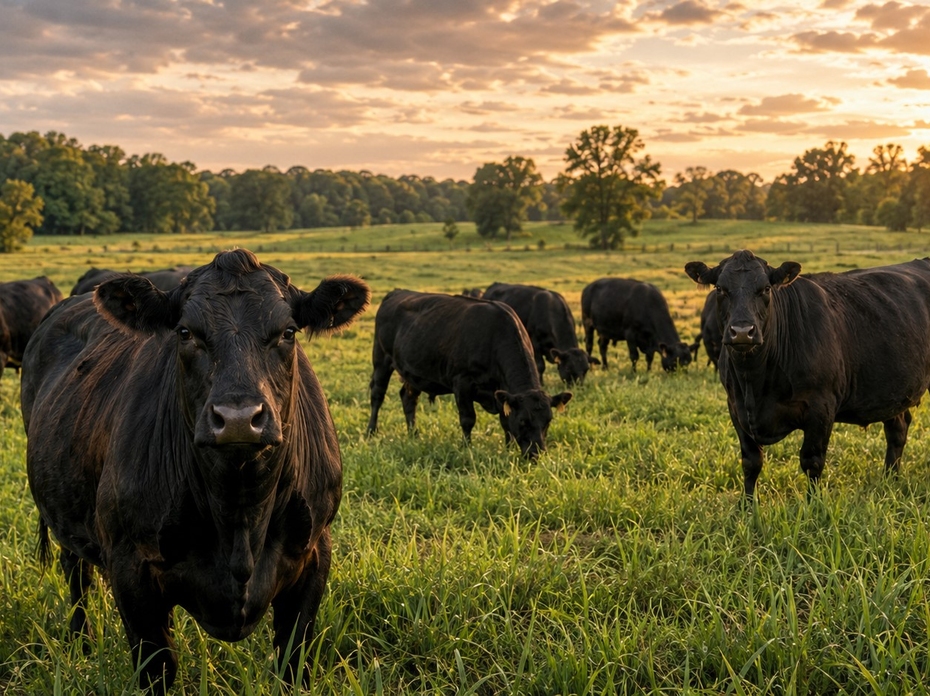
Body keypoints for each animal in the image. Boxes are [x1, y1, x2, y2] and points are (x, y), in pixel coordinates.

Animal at [21, 249, 370, 690]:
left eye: (288, 332)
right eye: (185, 333)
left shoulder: (313, 554)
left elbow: (294, 663)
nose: (238, 418)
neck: (239, 514)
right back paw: (81, 648)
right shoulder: (131, 570)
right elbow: (158, 669)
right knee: (76, 576)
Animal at [366, 289, 572, 458]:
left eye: (548, 420)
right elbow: (468, 419)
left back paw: (413, 434)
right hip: (381, 359)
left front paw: (509, 448)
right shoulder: (462, 383)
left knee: (408, 399)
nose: (537, 454)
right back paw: (371, 431)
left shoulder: (501, 391)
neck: (494, 338)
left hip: (412, 372)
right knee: (377, 395)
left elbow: (505, 421)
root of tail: (396, 292)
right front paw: (466, 448)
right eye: (523, 421)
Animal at [685, 249, 930, 501]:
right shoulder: (736, 407)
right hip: (892, 391)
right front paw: (747, 504)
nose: (742, 332)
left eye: (765, 288)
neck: (755, 382)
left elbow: (812, 461)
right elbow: (751, 462)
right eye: (720, 288)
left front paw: (812, 503)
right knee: (897, 428)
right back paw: (889, 479)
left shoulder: (821, 407)